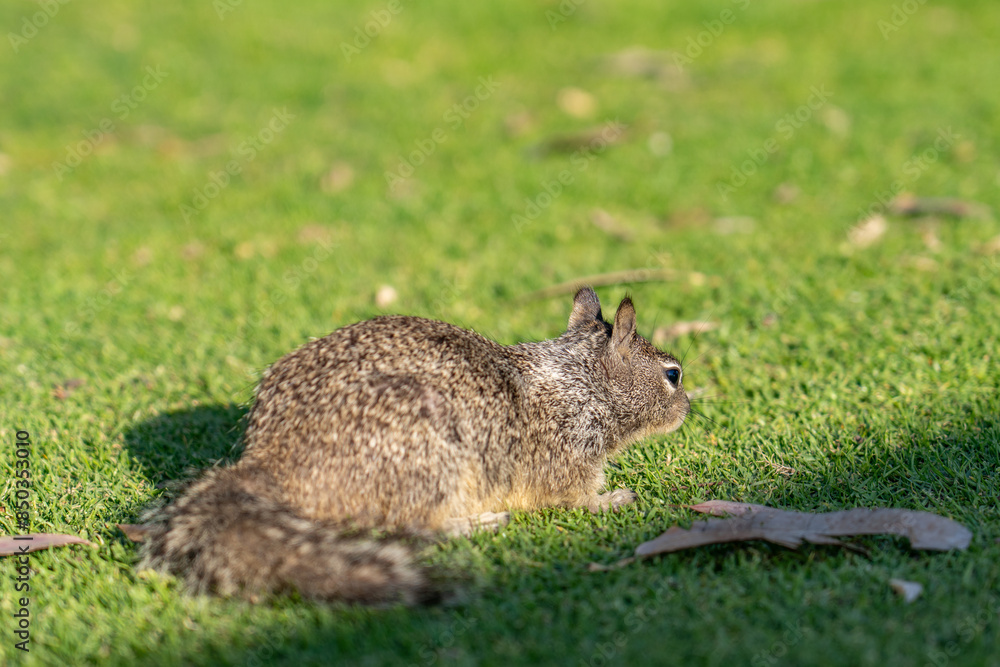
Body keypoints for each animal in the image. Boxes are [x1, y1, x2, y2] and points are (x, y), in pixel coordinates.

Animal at [139, 287, 689, 604]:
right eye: (673, 375)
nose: (688, 408)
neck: (581, 382)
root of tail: (275, 465)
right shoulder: (568, 456)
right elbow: (575, 497)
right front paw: (613, 499)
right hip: (428, 464)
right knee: (415, 527)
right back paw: (480, 522)